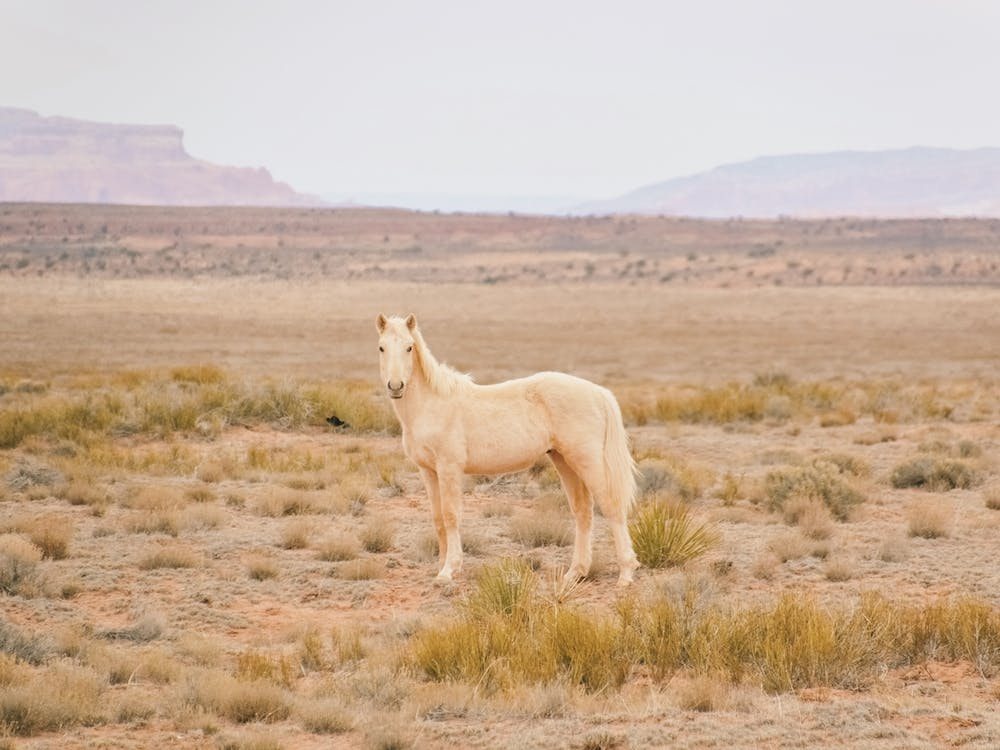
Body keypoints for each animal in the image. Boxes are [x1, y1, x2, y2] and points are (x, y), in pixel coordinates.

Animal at [375, 313, 640, 586]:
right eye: (381, 347)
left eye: (409, 347)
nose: (395, 386)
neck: (432, 404)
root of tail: (598, 392)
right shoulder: (428, 471)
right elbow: (438, 518)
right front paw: (440, 567)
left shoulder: (449, 468)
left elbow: (450, 515)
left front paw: (450, 569)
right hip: (564, 461)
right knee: (582, 511)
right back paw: (574, 573)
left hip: (588, 461)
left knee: (611, 506)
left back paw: (625, 574)